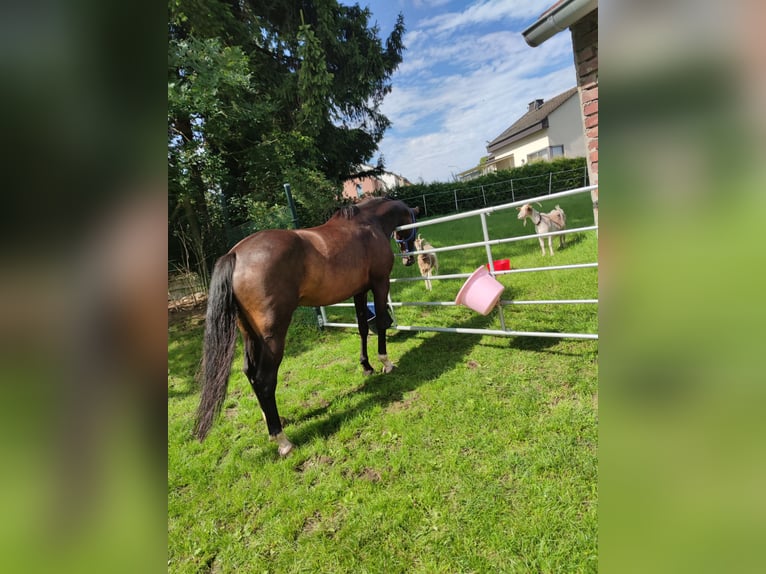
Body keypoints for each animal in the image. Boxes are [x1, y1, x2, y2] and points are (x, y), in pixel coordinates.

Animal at [194, 197, 419, 456]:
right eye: (411, 226)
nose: (409, 259)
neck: (368, 223)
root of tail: (235, 255)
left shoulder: (359, 291)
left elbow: (363, 326)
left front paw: (366, 366)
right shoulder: (380, 283)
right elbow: (381, 322)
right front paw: (386, 363)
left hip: (249, 335)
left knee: (250, 373)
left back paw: (271, 420)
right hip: (273, 337)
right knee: (264, 380)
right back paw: (282, 440)